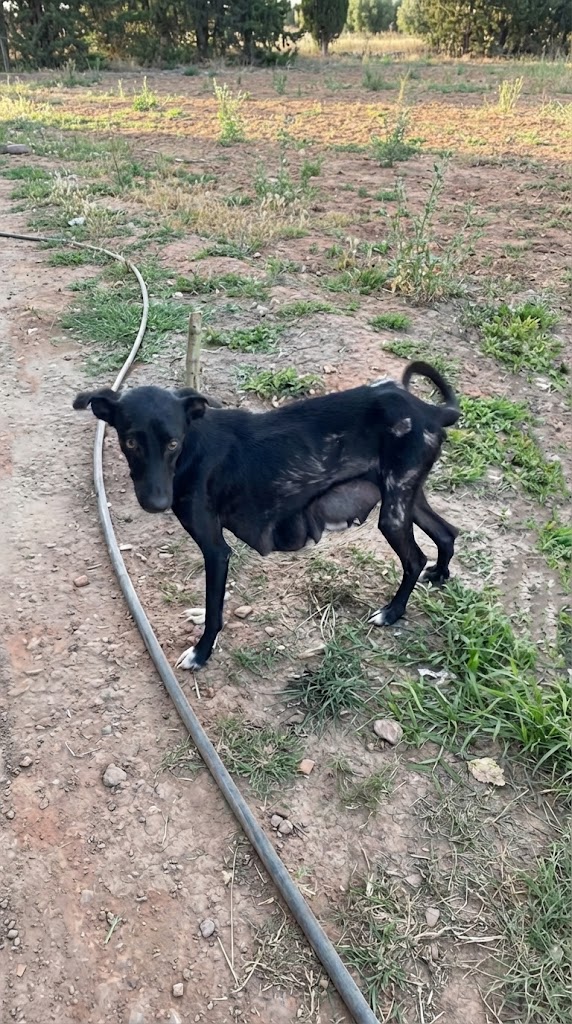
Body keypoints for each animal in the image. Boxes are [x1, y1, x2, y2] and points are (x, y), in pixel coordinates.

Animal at [74, 361, 460, 671]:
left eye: (172, 443)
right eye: (131, 442)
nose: (156, 502)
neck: (193, 443)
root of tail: (428, 411)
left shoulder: (216, 551)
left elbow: (213, 611)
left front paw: (202, 653)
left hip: (393, 511)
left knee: (415, 558)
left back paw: (392, 613)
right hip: (407, 496)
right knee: (446, 532)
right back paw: (439, 574)